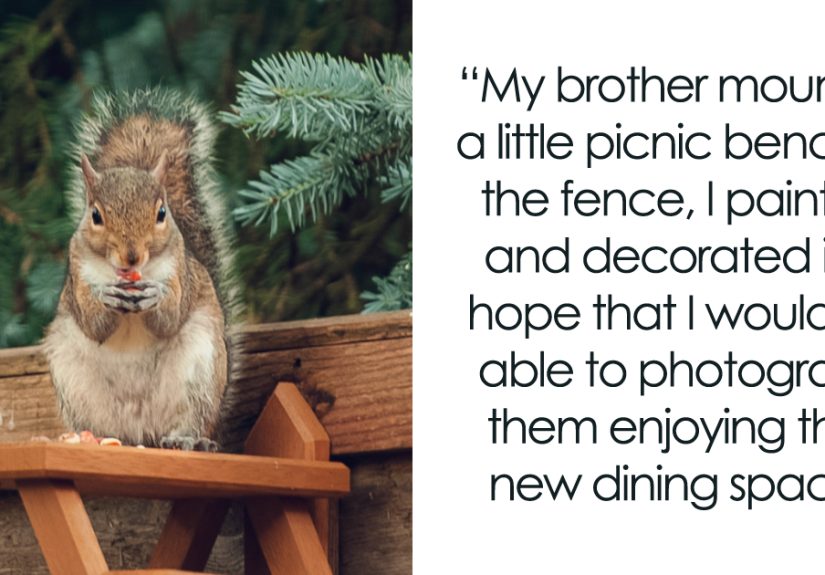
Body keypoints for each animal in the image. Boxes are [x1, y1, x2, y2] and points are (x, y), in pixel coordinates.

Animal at [44, 88, 240, 451]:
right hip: (72, 378)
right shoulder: (78, 276)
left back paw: (187, 440)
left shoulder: (180, 273)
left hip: (199, 371)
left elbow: (170, 319)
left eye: (161, 212)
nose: (132, 256)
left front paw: (156, 296)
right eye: (96, 215)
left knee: (191, 419)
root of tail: (141, 433)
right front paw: (105, 297)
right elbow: (93, 324)